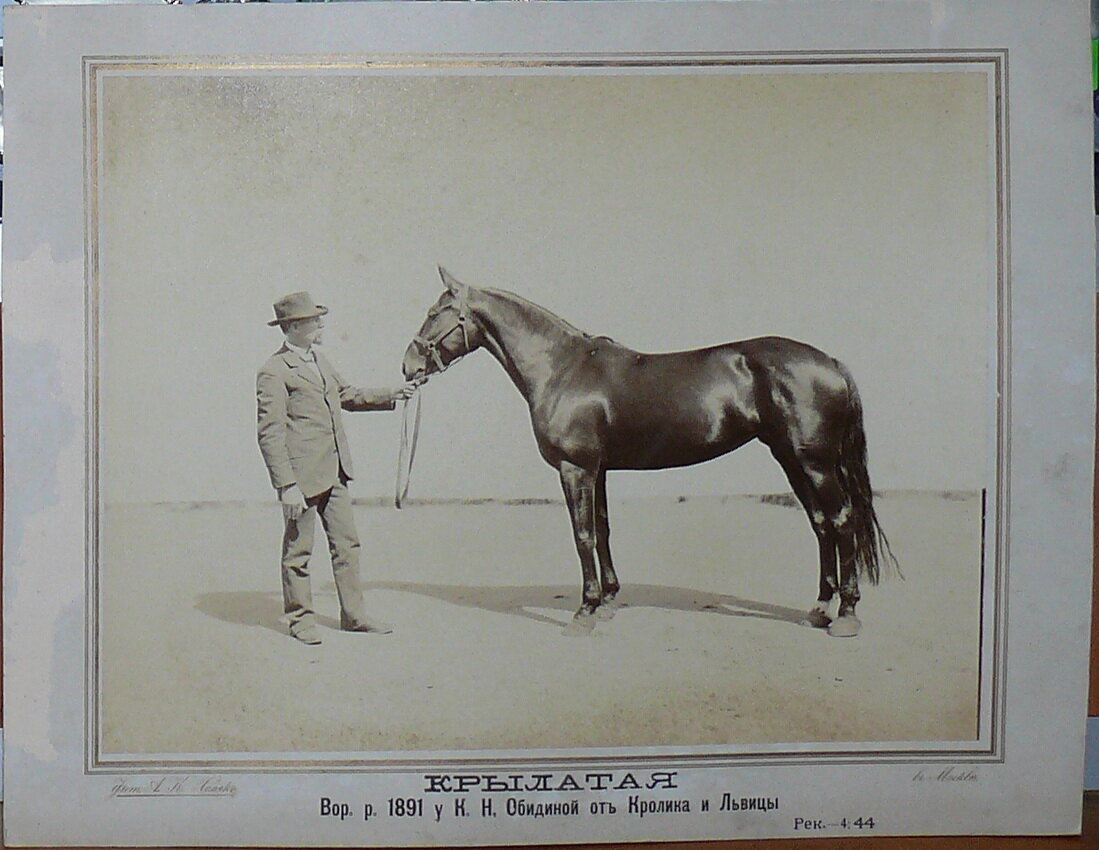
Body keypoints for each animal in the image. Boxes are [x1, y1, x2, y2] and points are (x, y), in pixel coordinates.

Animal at [402, 267, 896, 637]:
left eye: (435, 312)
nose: (408, 366)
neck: (562, 368)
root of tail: (830, 362)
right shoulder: (598, 469)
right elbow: (602, 531)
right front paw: (607, 602)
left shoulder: (575, 469)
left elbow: (582, 536)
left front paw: (584, 613)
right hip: (792, 459)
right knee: (821, 525)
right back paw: (819, 608)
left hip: (815, 462)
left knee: (841, 521)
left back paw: (846, 616)